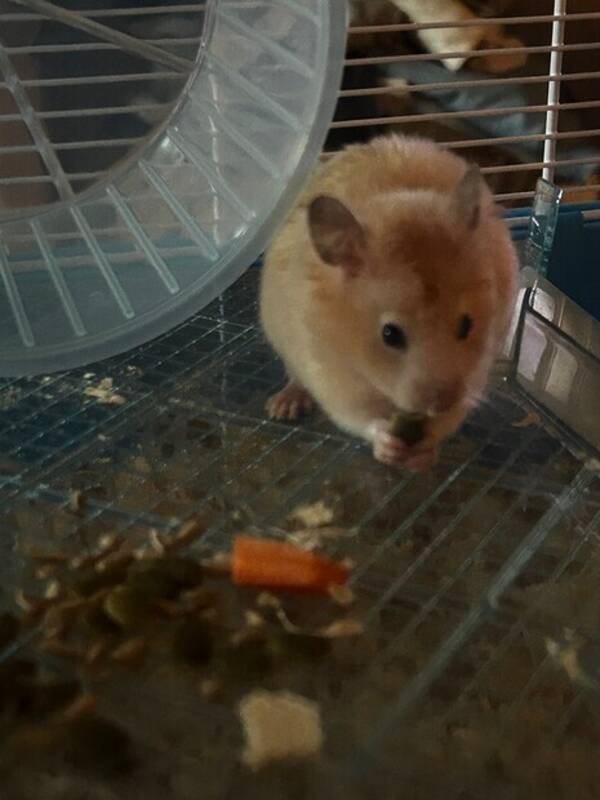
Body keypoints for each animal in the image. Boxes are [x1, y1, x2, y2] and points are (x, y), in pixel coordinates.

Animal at [260, 135, 518, 470]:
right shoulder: (329, 371)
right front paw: (389, 445)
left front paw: (425, 450)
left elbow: (451, 418)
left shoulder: (475, 370)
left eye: (467, 325)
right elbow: (358, 415)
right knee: (294, 378)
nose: (441, 401)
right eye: (390, 334)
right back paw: (284, 407)